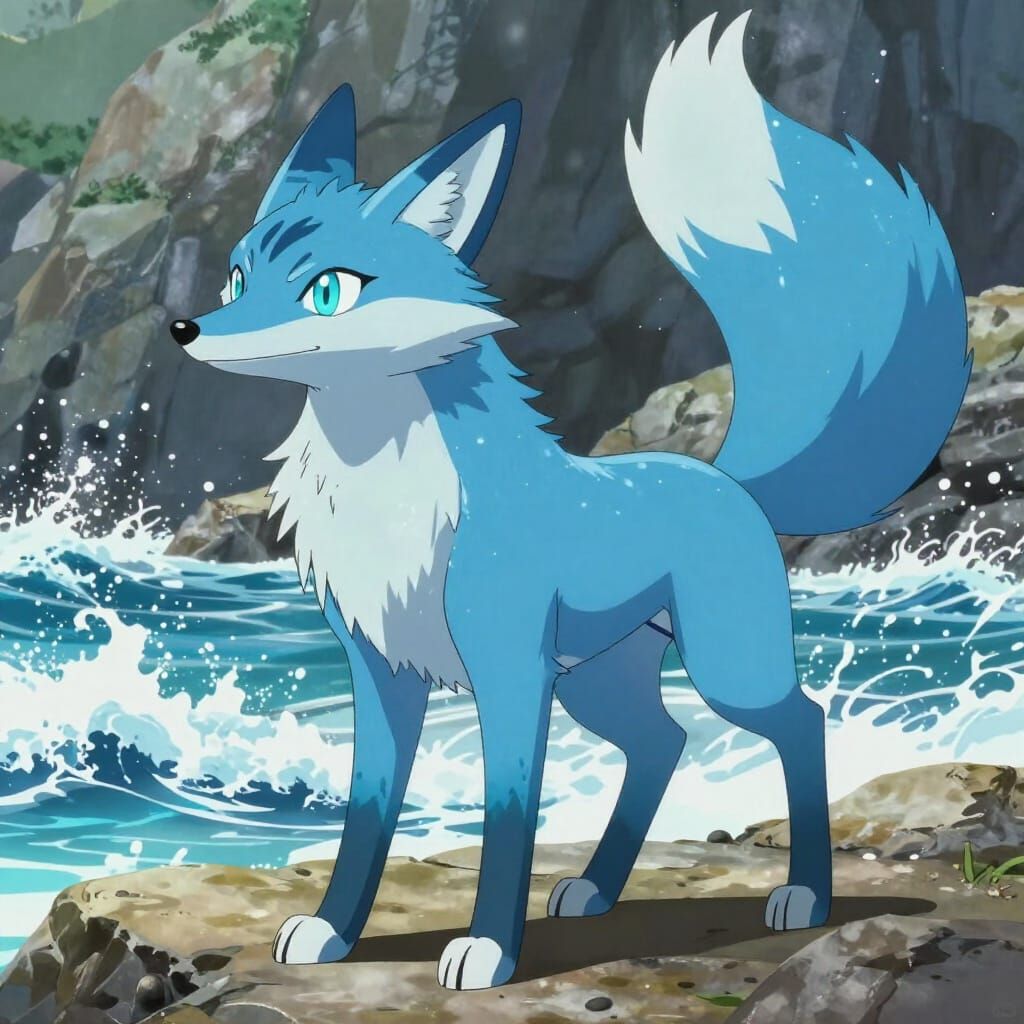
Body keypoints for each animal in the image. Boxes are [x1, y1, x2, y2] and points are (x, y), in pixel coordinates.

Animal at [169, 12, 970, 991]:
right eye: (239, 280)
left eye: (328, 290)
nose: (185, 330)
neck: (385, 496)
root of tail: (722, 475)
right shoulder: (381, 675)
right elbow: (365, 821)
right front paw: (332, 933)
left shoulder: (510, 672)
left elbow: (508, 819)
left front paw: (488, 951)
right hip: (600, 682)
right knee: (663, 744)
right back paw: (596, 888)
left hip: (722, 667)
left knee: (800, 722)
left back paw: (804, 896)